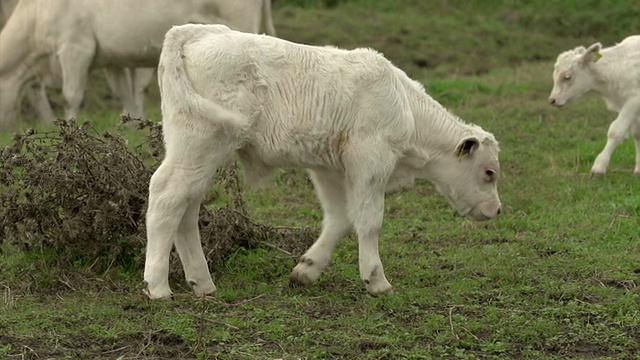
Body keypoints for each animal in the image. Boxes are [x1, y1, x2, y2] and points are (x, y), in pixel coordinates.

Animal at [0, 0, 276, 129]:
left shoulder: (75, 49)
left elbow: (71, 97)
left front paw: (70, 128)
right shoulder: (111, 58)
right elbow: (125, 95)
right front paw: (132, 126)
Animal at [142, 25, 502, 300]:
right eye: (489, 172)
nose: (497, 210)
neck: (404, 104)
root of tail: (194, 30)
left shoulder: (329, 169)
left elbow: (339, 219)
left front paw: (306, 270)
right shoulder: (371, 162)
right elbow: (369, 220)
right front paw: (377, 280)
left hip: (197, 155)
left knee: (187, 207)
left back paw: (202, 282)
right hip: (200, 145)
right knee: (166, 197)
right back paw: (158, 286)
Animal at [544, 34, 640, 175]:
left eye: (567, 77)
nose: (552, 100)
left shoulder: (633, 102)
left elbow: (615, 130)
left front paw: (599, 166)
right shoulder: (628, 107)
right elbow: (637, 134)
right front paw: (638, 169)